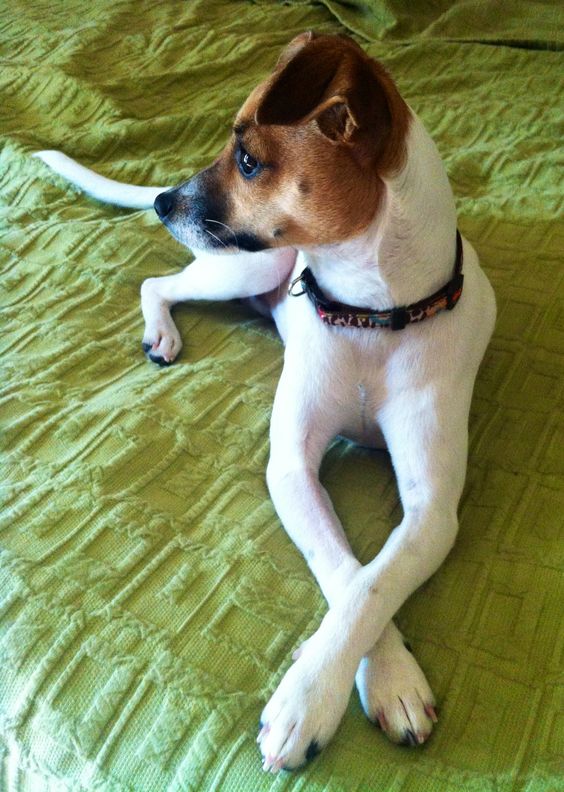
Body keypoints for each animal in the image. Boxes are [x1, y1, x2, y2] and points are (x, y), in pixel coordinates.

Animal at [35, 32, 496, 772]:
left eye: (249, 162)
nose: (162, 201)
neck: (367, 315)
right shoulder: (291, 468)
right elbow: (345, 569)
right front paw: (351, 683)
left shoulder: (432, 510)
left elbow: (373, 582)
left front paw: (327, 689)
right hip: (245, 266)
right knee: (160, 284)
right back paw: (161, 333)